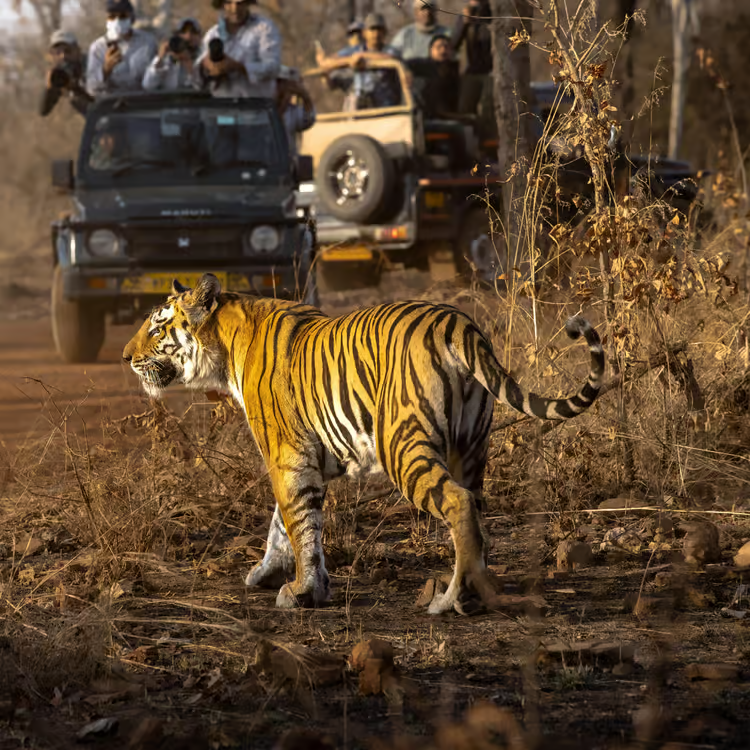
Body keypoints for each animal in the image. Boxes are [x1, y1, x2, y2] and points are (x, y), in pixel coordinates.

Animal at [123, 273, 604, 614]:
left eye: (158, 327)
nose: (126, 357)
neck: (224, 346)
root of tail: (459, 322)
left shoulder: (288, 456)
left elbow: (299, 522)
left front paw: (303, 590)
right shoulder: (305, 457)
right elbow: (283, 522)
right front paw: (268, 572)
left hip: (402, 445)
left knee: (458, 504)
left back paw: (453, 599)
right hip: (471, 447)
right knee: (475, 507)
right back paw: (474, 588)